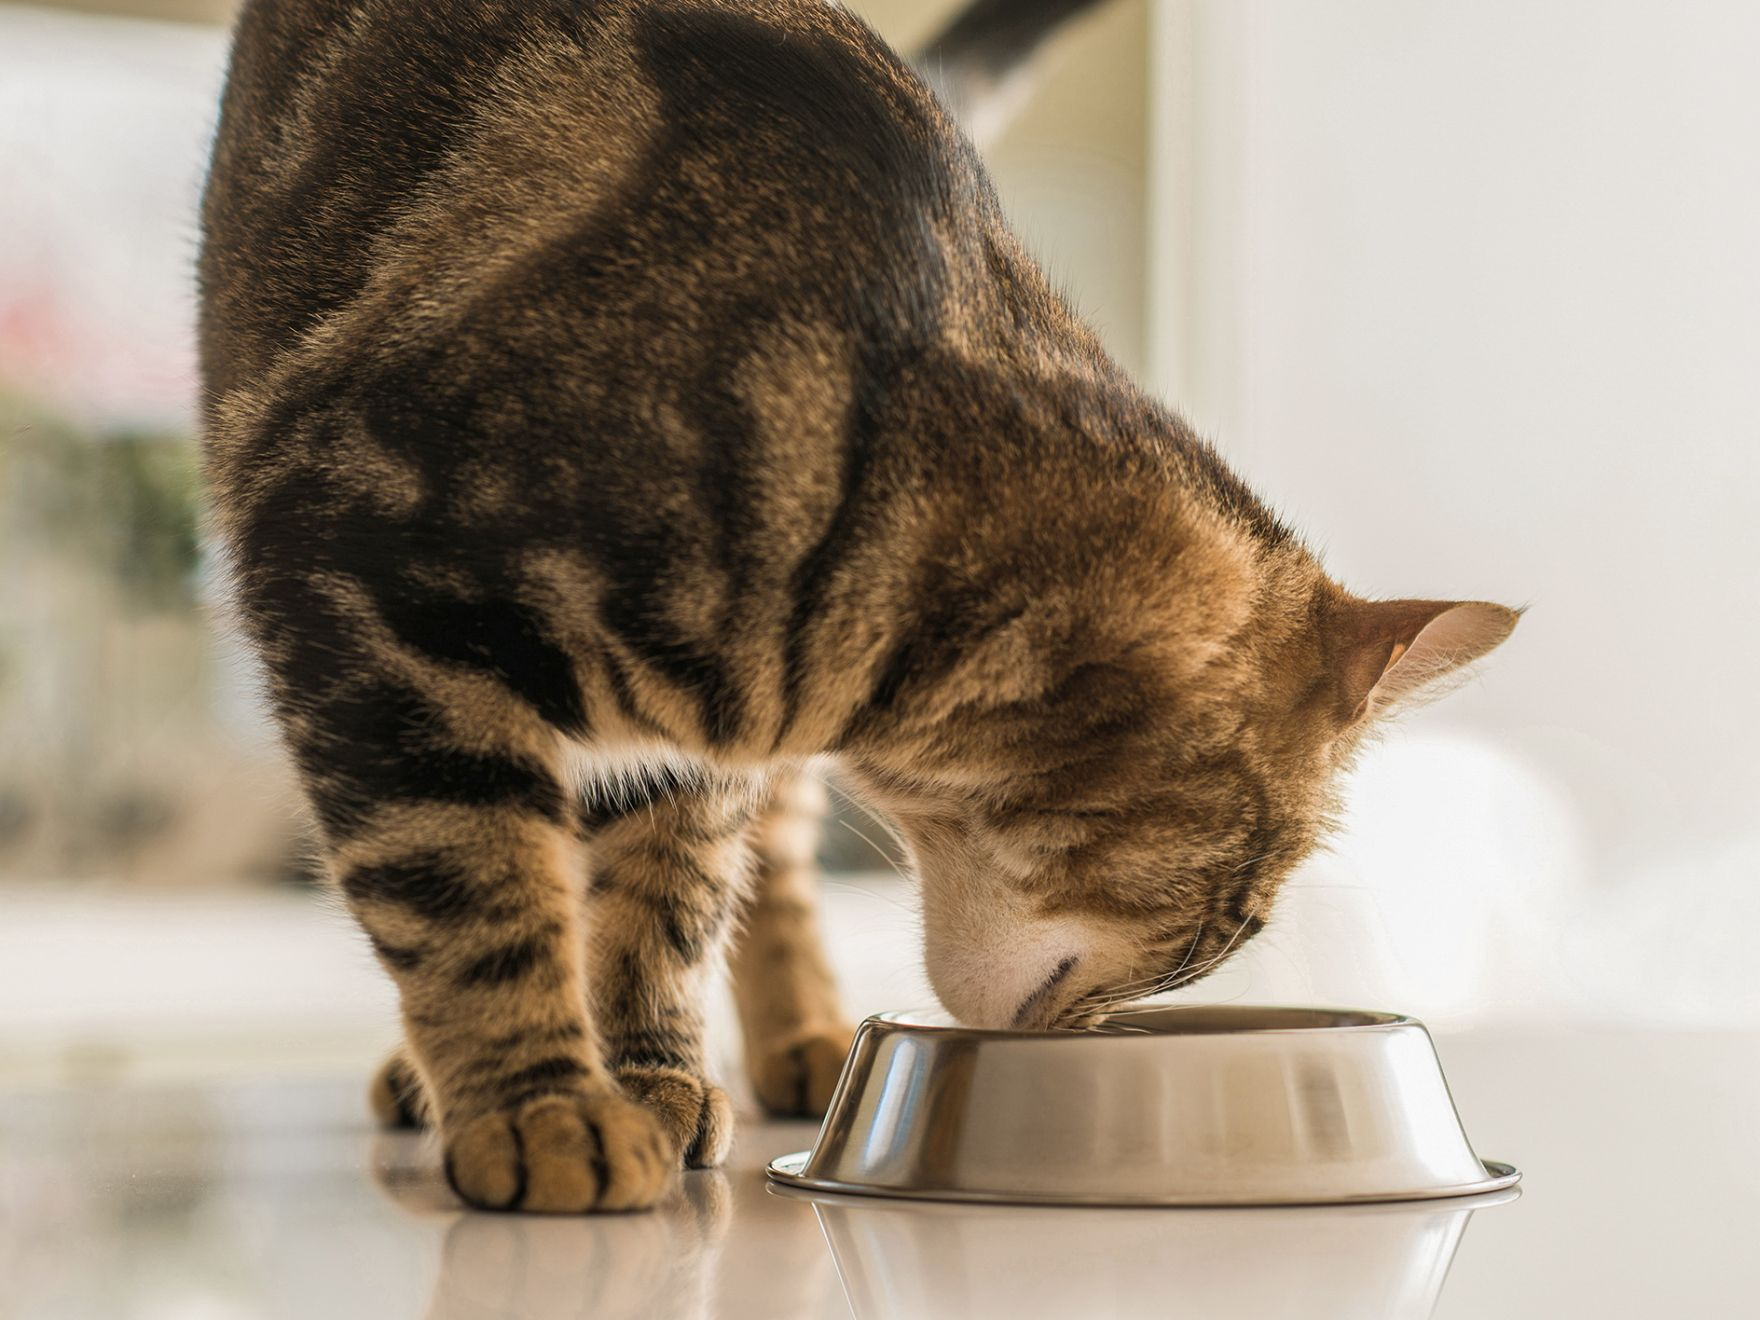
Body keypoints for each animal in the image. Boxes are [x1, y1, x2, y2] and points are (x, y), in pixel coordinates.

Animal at [189, 0, 1513, 1217]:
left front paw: (646, 1075)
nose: (1098, 1037)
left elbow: (663, 912)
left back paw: (799, 1042)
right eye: (1223, 930)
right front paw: (541, 1105)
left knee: (765, 869)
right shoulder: (366, 599)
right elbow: (471, 890)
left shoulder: (687, 755)